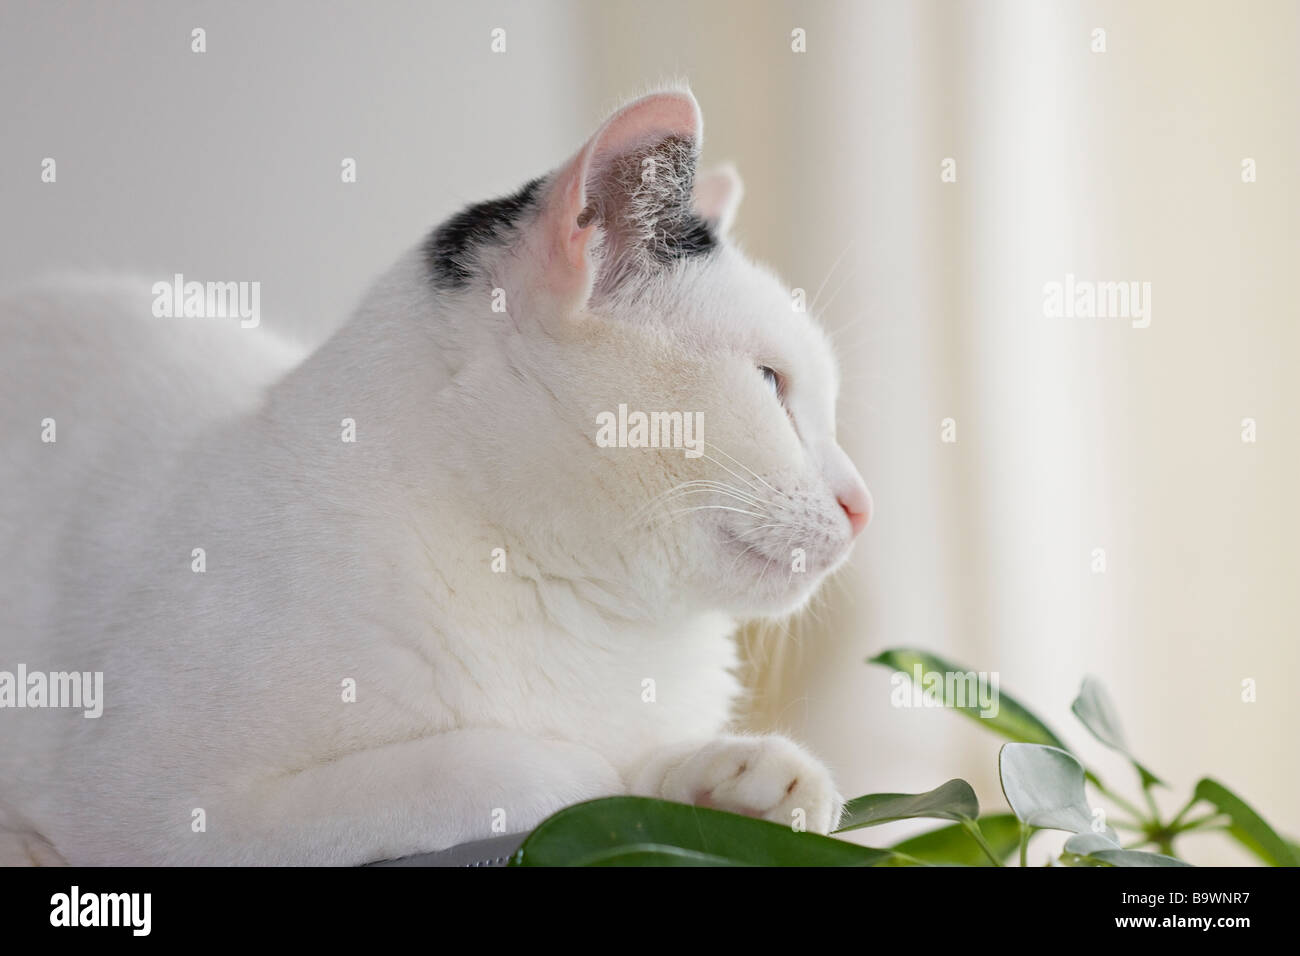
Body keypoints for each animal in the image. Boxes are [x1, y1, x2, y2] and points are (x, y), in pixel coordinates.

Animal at [2, 89, 873, 868]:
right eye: (769, 382)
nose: (864, 505)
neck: (584, 614)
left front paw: (735, 779)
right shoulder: (151, 802)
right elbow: (514, 771)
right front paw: (591, 771)